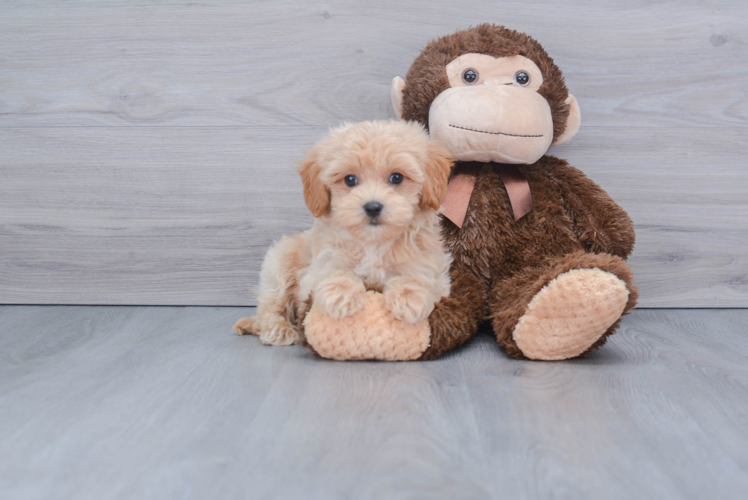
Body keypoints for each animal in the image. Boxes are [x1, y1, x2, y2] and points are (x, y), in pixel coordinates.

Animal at [237, 121, 452, 348]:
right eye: (350, 180)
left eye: (396, 177)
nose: (373, 207)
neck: (373, 243)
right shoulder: (316, 269)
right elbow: (335, 270)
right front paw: (340, 293)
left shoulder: (436, 273)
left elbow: (416, 275)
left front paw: (409, 297)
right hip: (278, 264)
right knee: (270, 307)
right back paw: (279, 329)